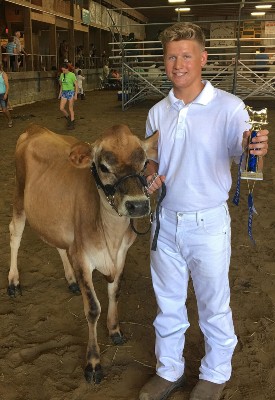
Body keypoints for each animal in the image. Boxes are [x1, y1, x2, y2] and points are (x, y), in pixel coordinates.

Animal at [7, 122, 158, 384]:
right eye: (103, 166)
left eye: (144, 163)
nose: (138, 205)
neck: (111, 237)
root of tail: (36, 128)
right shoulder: (82, 257)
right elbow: (93, 309)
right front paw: (93, 363)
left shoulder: (121, 254)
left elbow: (115, 292)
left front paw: (115, 330)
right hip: (19, 194)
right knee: (15, 234)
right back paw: (13, 282)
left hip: (57, 221)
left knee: (59, 245)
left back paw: (70, 281)